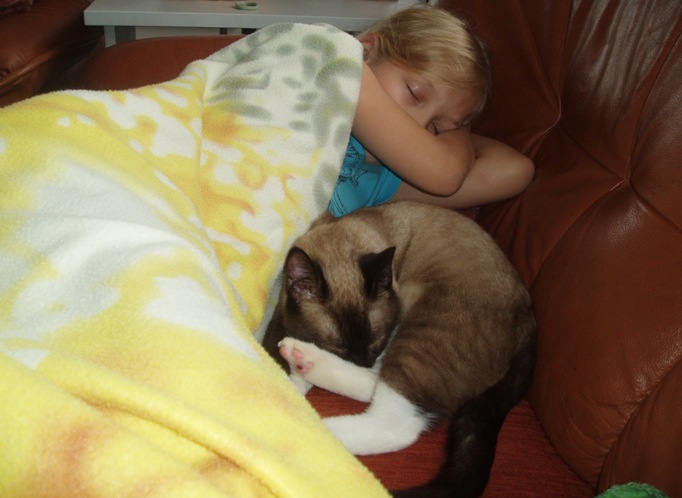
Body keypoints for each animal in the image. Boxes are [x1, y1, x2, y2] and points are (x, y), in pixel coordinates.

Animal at [262, 200, 536, 498]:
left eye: (375, 344)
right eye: (339, 349)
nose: (363, 362)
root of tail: (529, 321)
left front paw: (289, 379)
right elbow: (273, 342)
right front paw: (291, 374)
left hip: (421, 336)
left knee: (396, 423)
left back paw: (297, 423)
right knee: (374, 388)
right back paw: (303, 365)